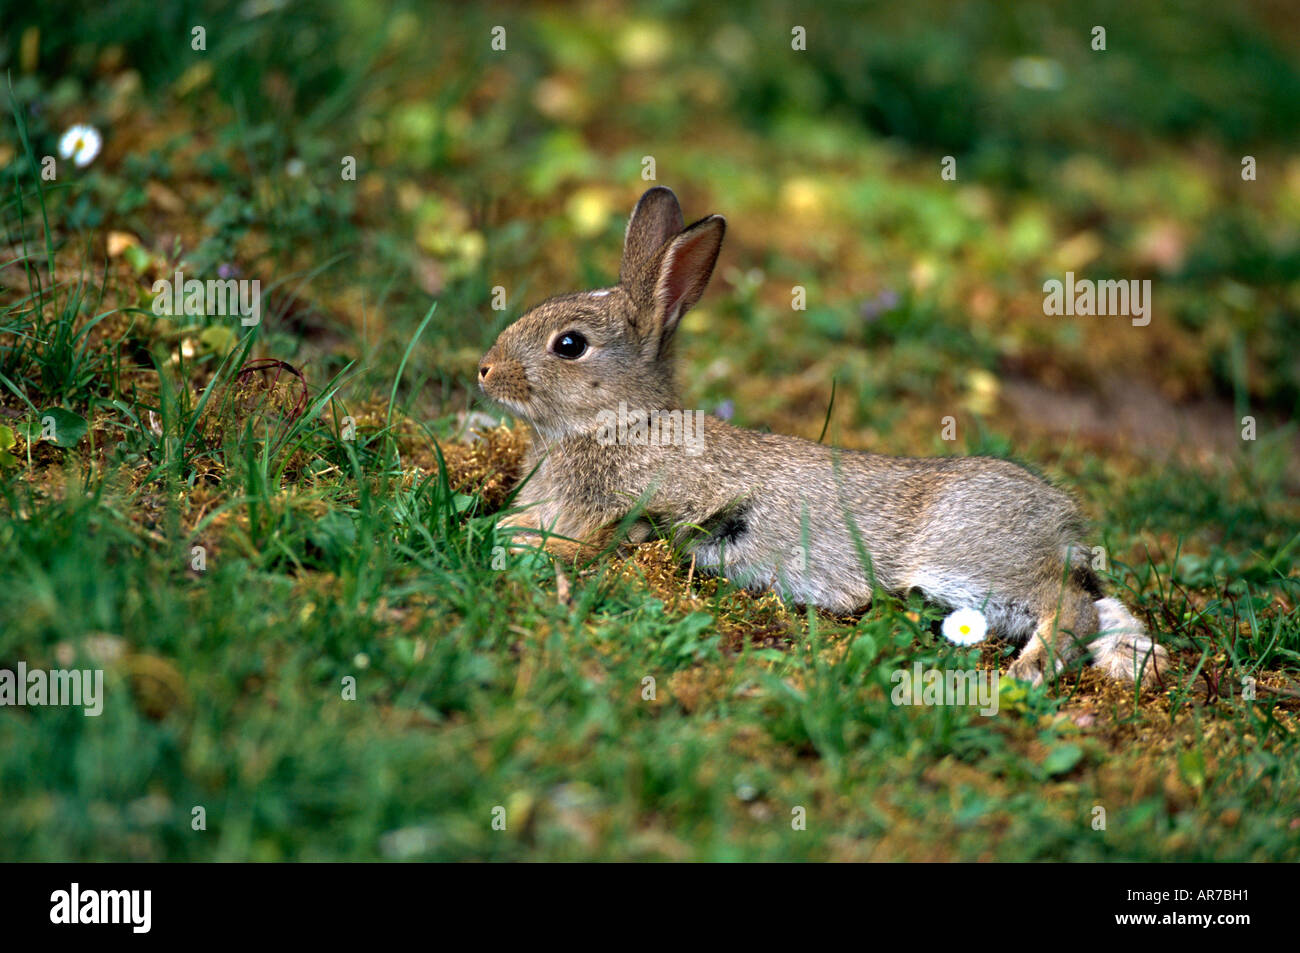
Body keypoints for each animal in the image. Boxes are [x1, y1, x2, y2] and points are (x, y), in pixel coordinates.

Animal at [478, 185, 1170, 686]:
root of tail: (1058, 515)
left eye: (570, 346)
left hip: (965, 558)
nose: (483, 370)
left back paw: (1028, 671)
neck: (616, 420)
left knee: (1066, 605)